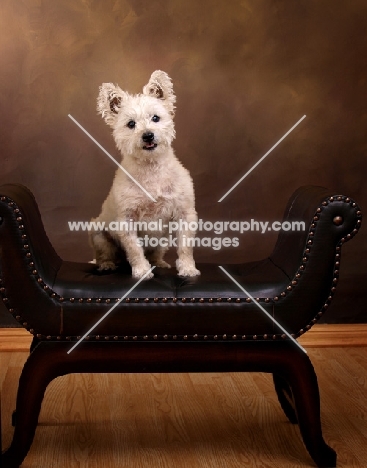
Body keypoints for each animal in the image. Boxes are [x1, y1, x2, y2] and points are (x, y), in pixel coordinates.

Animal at [90, 70, 203, 278]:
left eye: (156, 118)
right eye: (131, 124)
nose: (148, 135)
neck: (151, 168)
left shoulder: (185, 214)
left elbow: (185, 247)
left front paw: (188, 269)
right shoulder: (126, 220)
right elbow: (134, 249)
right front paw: (142, 271)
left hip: (163, 240)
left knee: (155, 254)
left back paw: (159, 263)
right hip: (98, 233)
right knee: (105, 254)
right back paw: (107, 265)